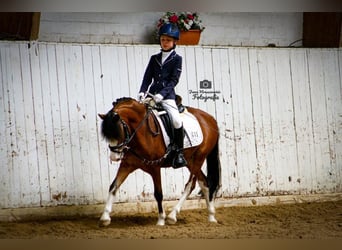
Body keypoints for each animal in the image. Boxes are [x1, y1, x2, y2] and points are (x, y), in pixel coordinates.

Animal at [98, 96, 222, 226]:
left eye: (119, 132)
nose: (114, 157)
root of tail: (210, 119)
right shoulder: (127, 165)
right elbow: (113, 186)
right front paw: (105, 217)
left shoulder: (155, 168)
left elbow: (158, 193)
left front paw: (161, 220)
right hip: (190, 161)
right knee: (204, 183)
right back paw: (211, 216)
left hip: (198, 159)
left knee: (190, 185)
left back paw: (172, 216)